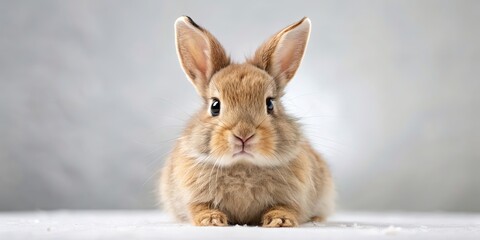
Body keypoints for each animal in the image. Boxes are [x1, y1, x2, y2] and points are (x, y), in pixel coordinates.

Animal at [158, 15, 334, 227]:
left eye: (270, 104)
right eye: (215, 106)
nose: (243, 135)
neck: (242, 166)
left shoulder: (294, 197)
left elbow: (286, 207)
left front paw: (280, 220)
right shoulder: (193, 197)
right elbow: (199, 208)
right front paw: (211, 220)